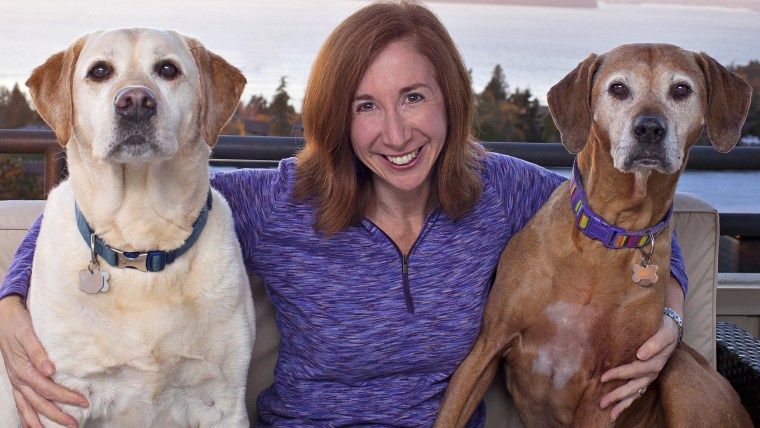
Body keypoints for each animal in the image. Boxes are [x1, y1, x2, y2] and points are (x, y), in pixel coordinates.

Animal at [0, 28, 255, 426]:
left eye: (167, 69)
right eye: (100, 71)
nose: (135, 101)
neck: (140, 244)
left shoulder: (223, 401)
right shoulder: (62, 400)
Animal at [436, 44, 752, 428]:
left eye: (681, 90)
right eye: (618, 88)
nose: (649, 128)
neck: (609, 237)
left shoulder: (609, 386)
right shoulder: (488, 345)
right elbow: (449, 412)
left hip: (681, 377)